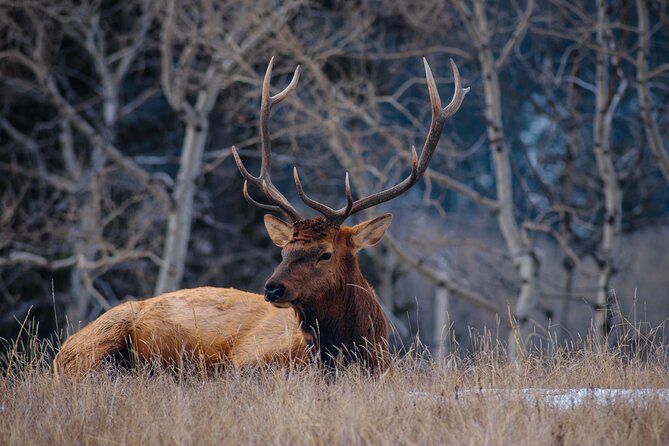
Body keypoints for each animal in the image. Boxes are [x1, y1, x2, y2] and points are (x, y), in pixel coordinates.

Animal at [52, 55, 468, 376]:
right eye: (284, 250)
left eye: (325, 253)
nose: (272, 288)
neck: (359, 353)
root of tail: (58, 355)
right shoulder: (250, 361)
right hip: (97, 342)